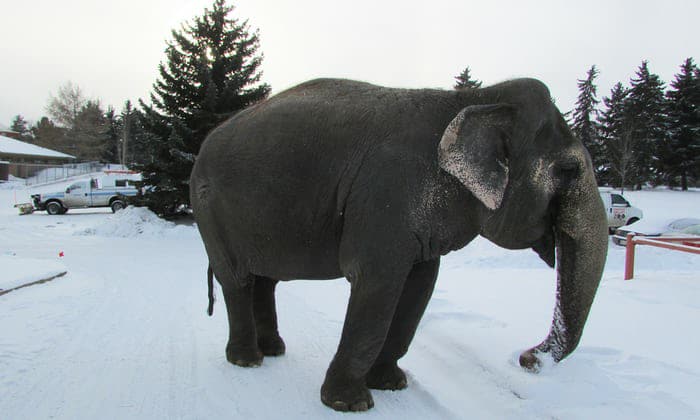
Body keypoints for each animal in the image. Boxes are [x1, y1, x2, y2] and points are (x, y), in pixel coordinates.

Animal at [190, 77, 608, 412]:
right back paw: (247, 361)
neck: (475, 99)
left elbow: (419, 286)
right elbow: (378, 281)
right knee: (237, 279)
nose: (527, 358)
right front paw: (350, 404)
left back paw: (274, 350)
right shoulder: (386, 195)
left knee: (265, 279)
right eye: (569, 170)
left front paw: (391, 384)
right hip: (209, 209)